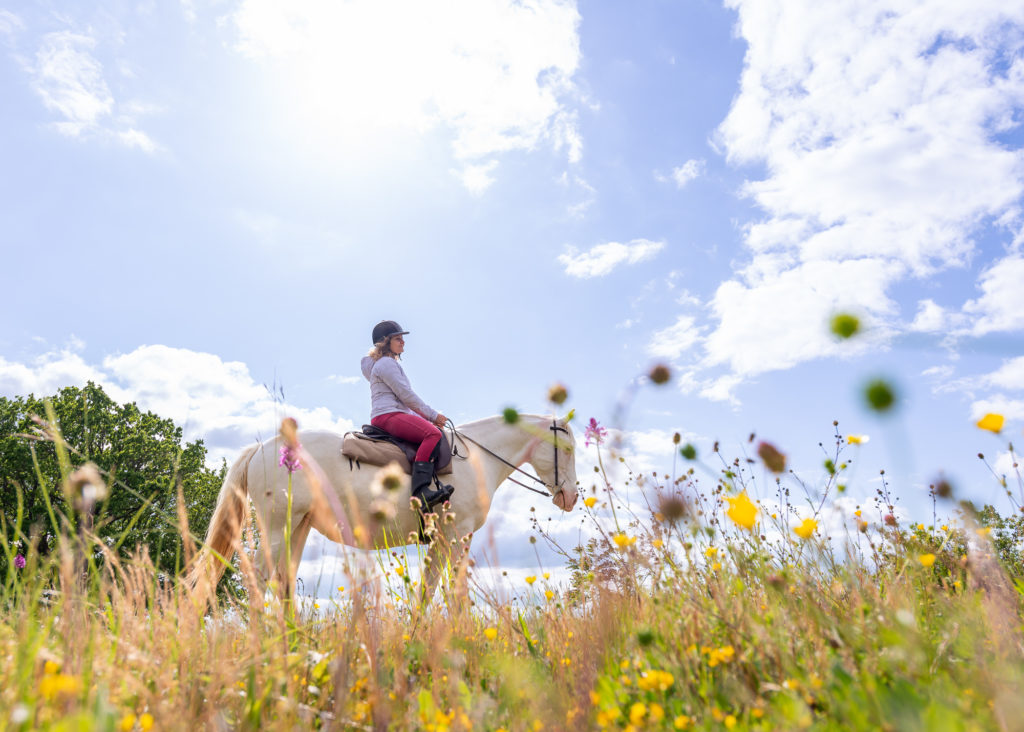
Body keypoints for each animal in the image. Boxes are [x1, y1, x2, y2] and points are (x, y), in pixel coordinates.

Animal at [188, 415, 581, 606]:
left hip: (296, 529)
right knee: (258, 579)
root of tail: (261, 449)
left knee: (282, 581)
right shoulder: (455, 537)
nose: (571, 496)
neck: (476, 459)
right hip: (274, 530)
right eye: (568, 449)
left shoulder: (448, 540)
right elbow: (445, 592)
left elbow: (436, 590)